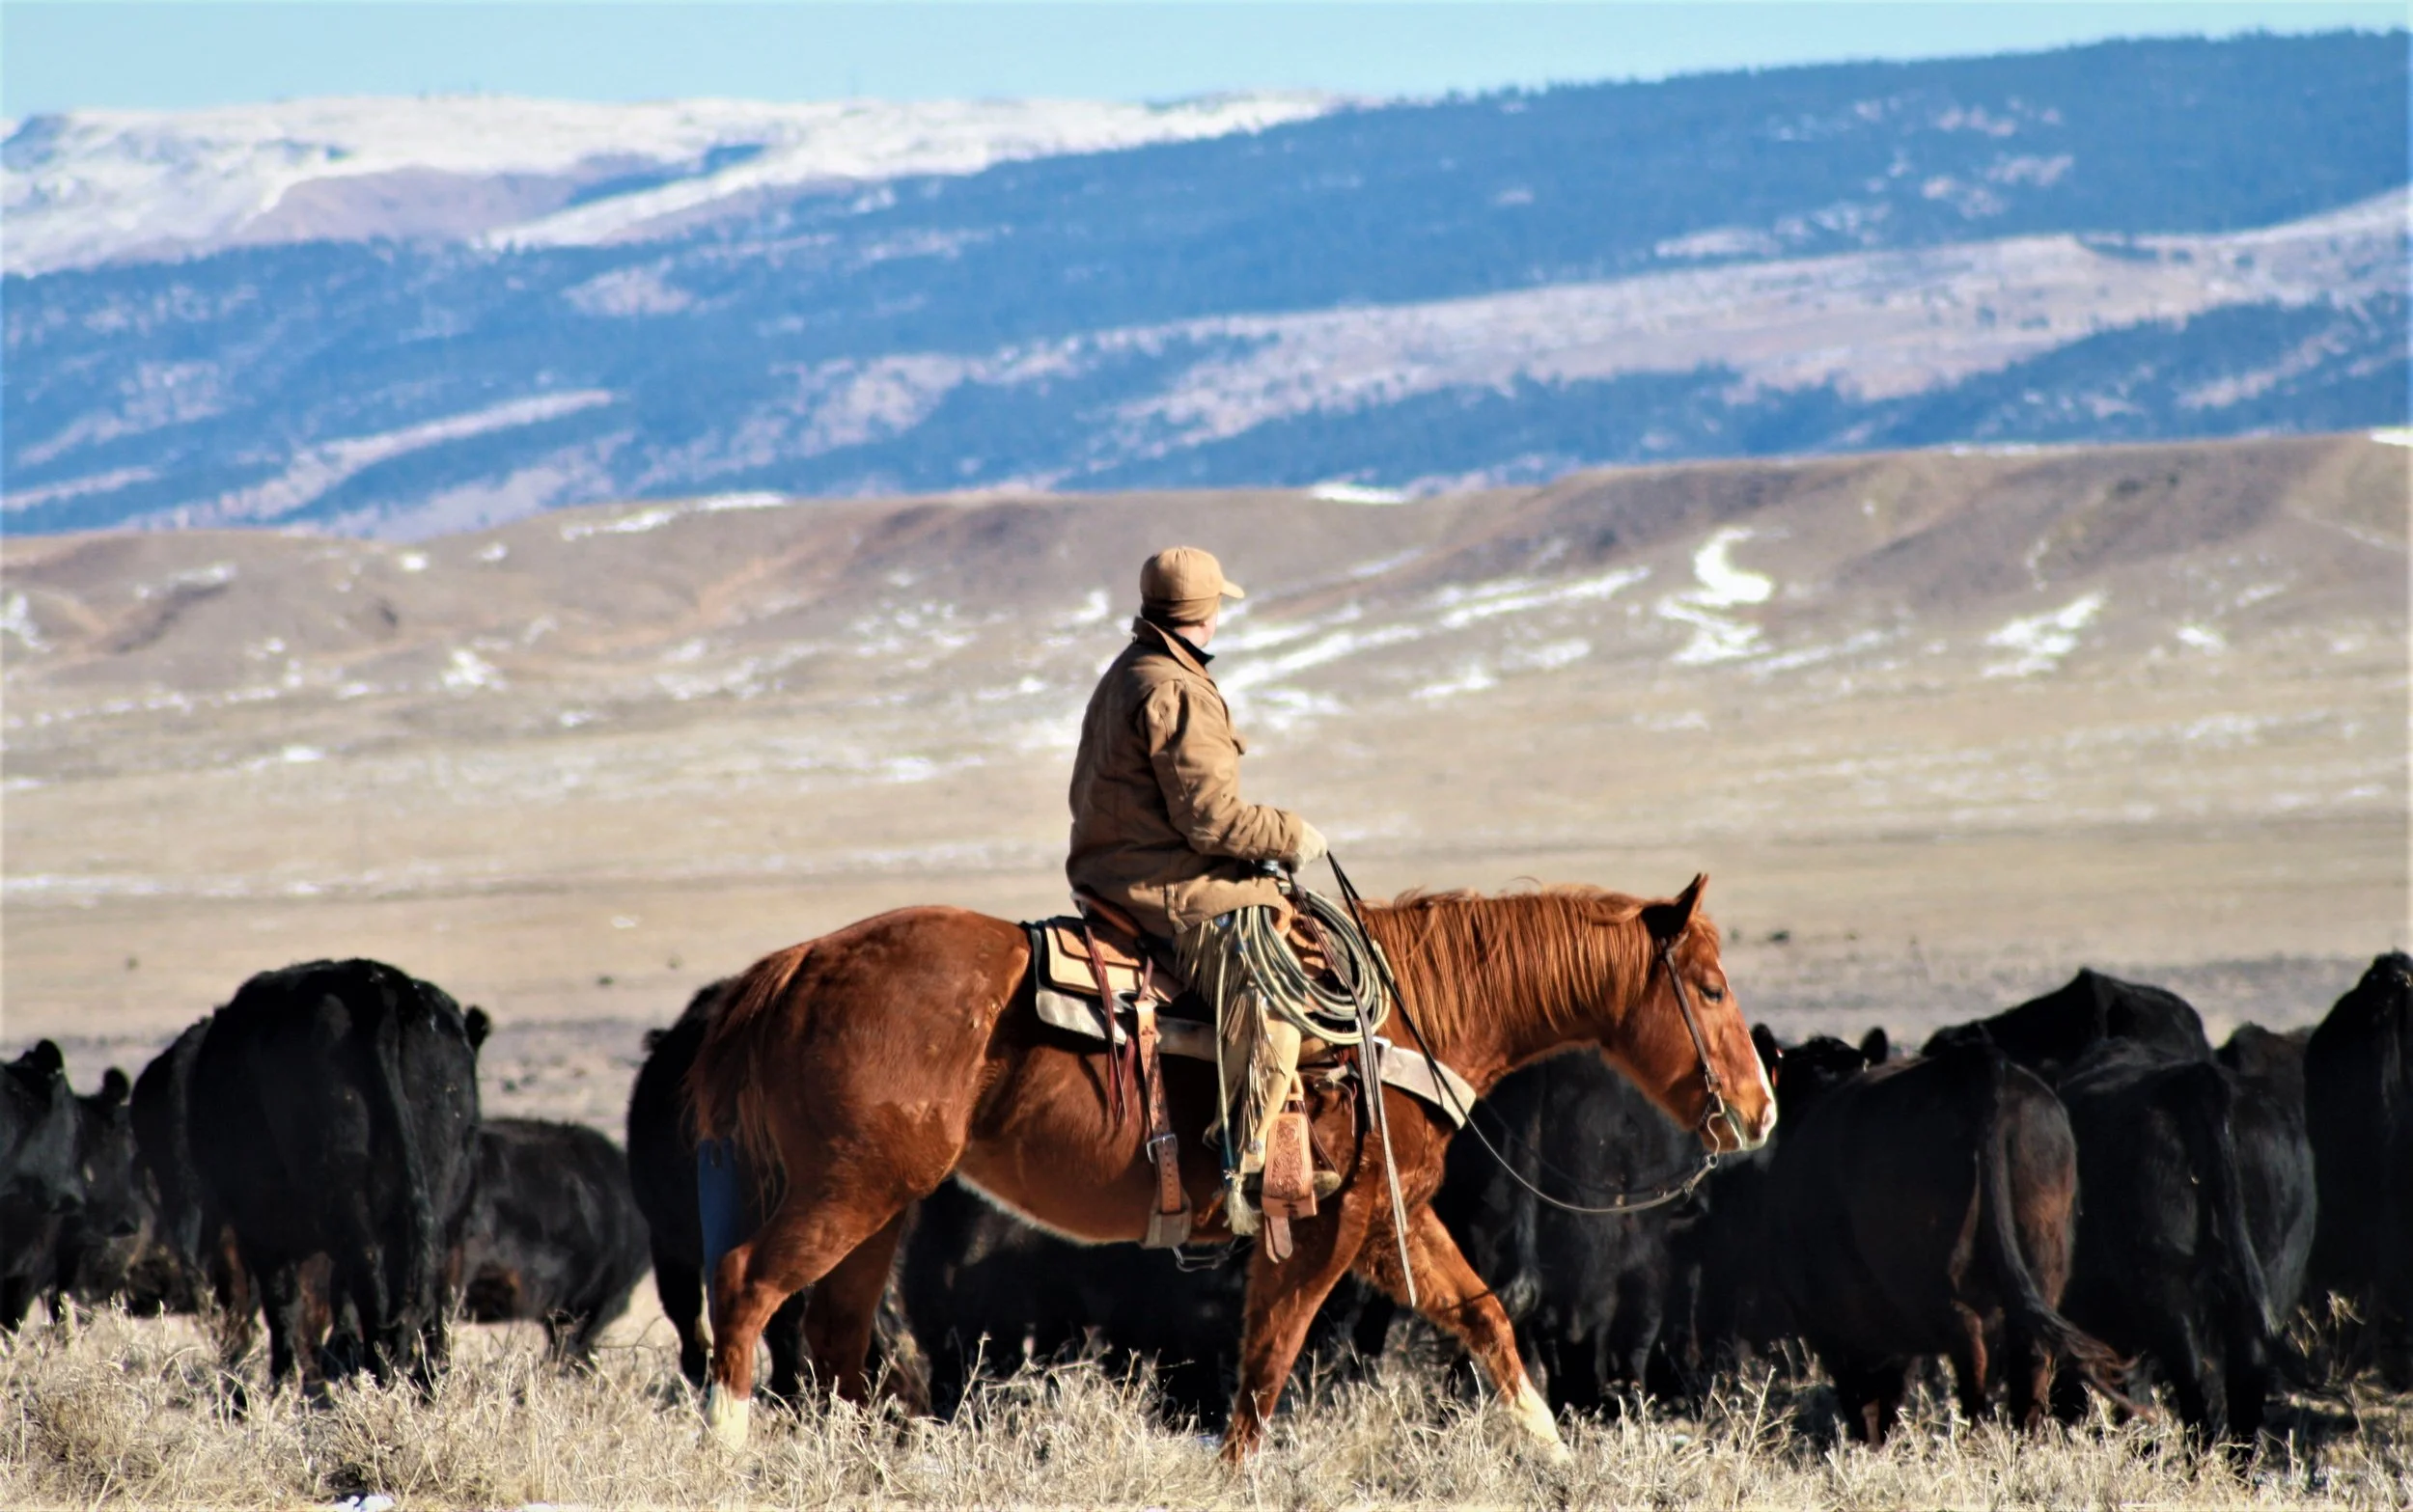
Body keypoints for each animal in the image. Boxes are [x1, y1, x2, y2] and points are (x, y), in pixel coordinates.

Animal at [685, 873, 1774, 1461]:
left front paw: (1554, 1459)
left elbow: (1487, 1322)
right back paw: (726, 1452)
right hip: (850, 1188)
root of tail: (801, 964)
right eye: (1710, 985)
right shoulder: (1327, 1227)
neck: (1407, 1013)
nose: (1758, 1110)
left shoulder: (1389, 1221)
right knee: (744, 1289)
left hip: (884, 1204)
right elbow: (1265, 1367)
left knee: (833, 1332)